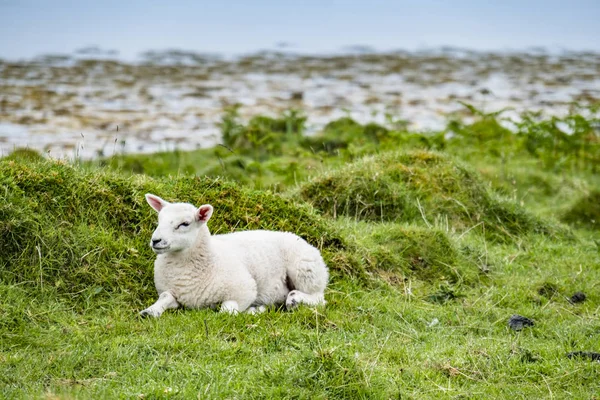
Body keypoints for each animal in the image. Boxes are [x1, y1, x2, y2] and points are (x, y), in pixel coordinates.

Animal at [139, 192, 330, 318]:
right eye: (159, 221)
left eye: (184, 224)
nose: (155, 241)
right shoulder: (175, 294)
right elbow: (165, 297)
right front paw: (149, 311)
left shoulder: (244, 290)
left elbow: (228, 311)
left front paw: (255, 310)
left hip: (304, 269)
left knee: (319, 298)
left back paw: (295, 299)